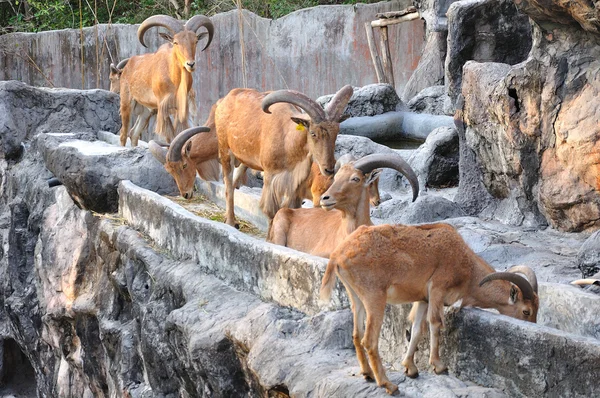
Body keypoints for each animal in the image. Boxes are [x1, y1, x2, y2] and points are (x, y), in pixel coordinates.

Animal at [118, 14, 213, 148]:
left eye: (196, 41)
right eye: (175, 42)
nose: (190, 64)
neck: (175, 80)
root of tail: (127, 66)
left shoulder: (183, 108)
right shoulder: (164, 107)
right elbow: (170, 137)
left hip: (147, 111)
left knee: (134, 133)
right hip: (126, 103)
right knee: (124, 133)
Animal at [214, 85, 354, 232]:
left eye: (336, 133)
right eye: (313, 133)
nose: (329, 169)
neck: (287, 139)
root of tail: (223, 101)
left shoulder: (294, 182)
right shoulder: (271, 176)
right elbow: (271, 211)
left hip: (244, 159)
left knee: (235, 181)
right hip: (225, 150)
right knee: (228, 185)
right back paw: (231, 222)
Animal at [322, 224, 540, 394]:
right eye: (526, 311)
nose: (532, 324)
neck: (467, 265)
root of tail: (338, 256)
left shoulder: (423, 299)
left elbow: (417, 329)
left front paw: (410, 368)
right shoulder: (437, 289)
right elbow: (435, 323)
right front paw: (439, 366)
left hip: (356, 297)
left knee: (356, 334)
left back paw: (367, 374)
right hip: (375, 298)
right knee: (369, 341)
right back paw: (388, 385)